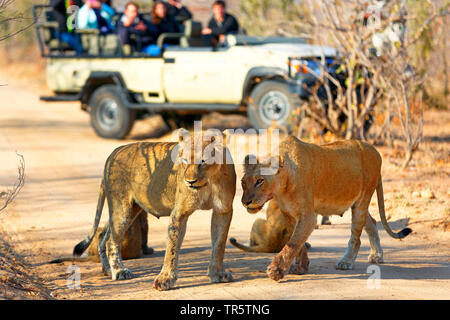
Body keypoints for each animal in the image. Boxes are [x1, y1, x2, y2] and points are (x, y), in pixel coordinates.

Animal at [73, 129, 236, 290]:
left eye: (203, 161)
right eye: (184, 161)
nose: (190, 181)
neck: (210, 181)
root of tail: (114, 152)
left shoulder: (223, 210)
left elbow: (219, 244)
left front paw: (217, 274)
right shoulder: (179, 212)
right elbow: (172, 246)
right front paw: (165, 279)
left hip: (131, 210)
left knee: (103, 235)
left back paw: (108, 270)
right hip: (122, 208)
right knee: (112, 241)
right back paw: (119, 271)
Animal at [243, 136, 412, 282]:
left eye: (260, 181)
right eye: (243, 182)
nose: (245, 202)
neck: (283, 185)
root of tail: (375, 151)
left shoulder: (308, 217)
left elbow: (293, 243)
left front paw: (276, 270)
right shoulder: (289, 215)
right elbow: (299, 244)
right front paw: (301, 267)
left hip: (362, 200)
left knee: (356, 237)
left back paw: (346, 262)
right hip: (358, 204)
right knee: (372, 222)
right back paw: (377, 255)